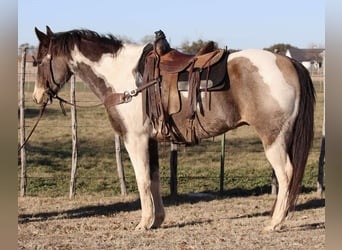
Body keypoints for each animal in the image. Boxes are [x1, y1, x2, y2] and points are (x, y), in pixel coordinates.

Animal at [32, 26, 316, 231]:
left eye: (39, 61)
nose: (37, 96)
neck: (126, 78)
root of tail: (288, 63)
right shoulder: (150, 140)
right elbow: (154, 179)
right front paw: (157, 220)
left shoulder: (134, 139)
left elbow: (142, 179)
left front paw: (143, 223)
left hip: (273, 138)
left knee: (286, 174)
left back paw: (274, 223)